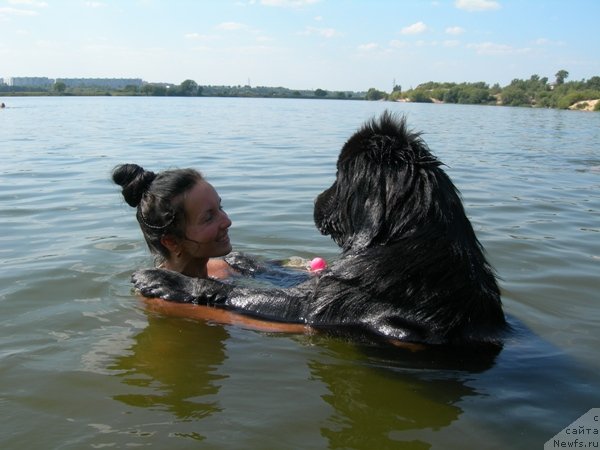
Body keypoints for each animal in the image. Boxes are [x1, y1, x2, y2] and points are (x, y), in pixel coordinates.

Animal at [131, 111, 506, 344]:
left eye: (339, 177)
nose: (314, 201)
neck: (402, 236)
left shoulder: (325, 304)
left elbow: (249, 293)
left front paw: (164, 280)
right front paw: (242, 258)